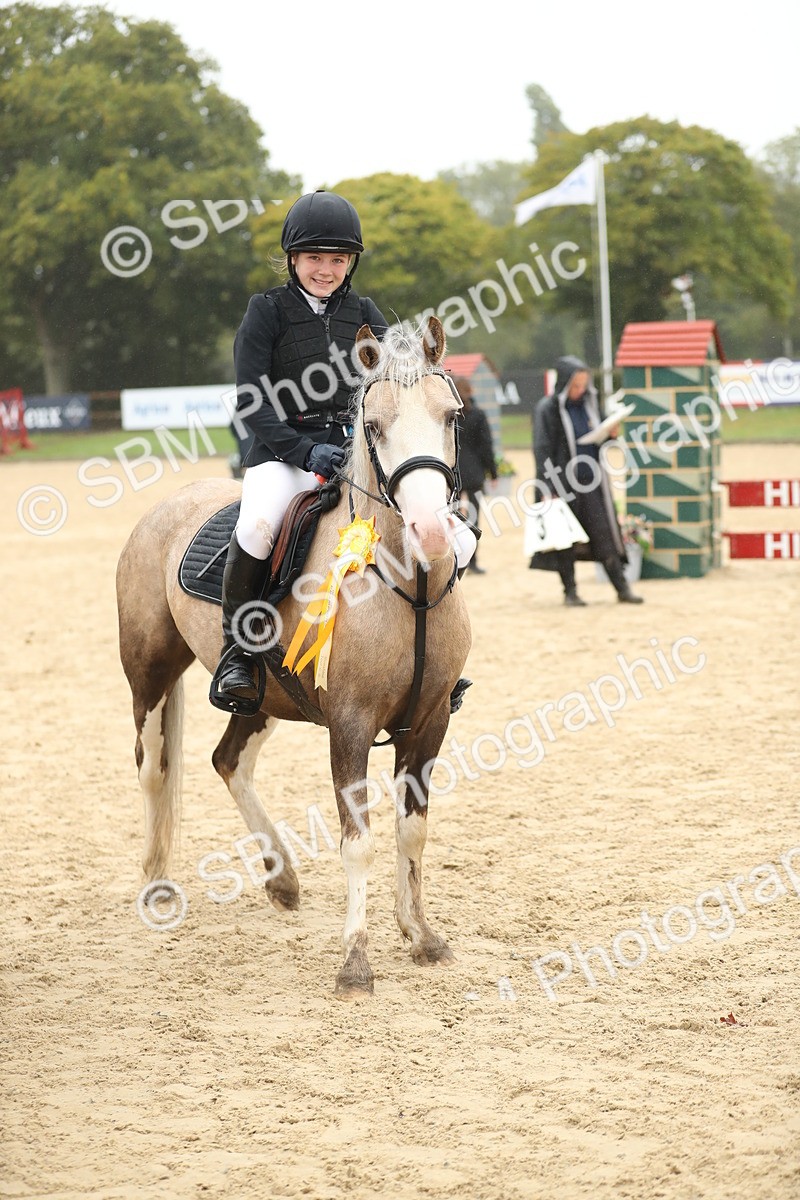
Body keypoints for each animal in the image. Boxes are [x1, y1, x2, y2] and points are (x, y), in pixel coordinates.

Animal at [116, 315, 472, 998]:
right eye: (374, 425)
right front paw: (355, 962)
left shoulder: (432, 720)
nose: (430, 532)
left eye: (451, 415)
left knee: (228, 761)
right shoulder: (350, 724)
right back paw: (156, 885)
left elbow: (411, 830)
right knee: (153, 769)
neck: (406, 584)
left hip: (261, 699)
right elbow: (358, 840)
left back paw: (281, 878)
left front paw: (421, 935)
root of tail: (166, 507)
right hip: (149, 675)